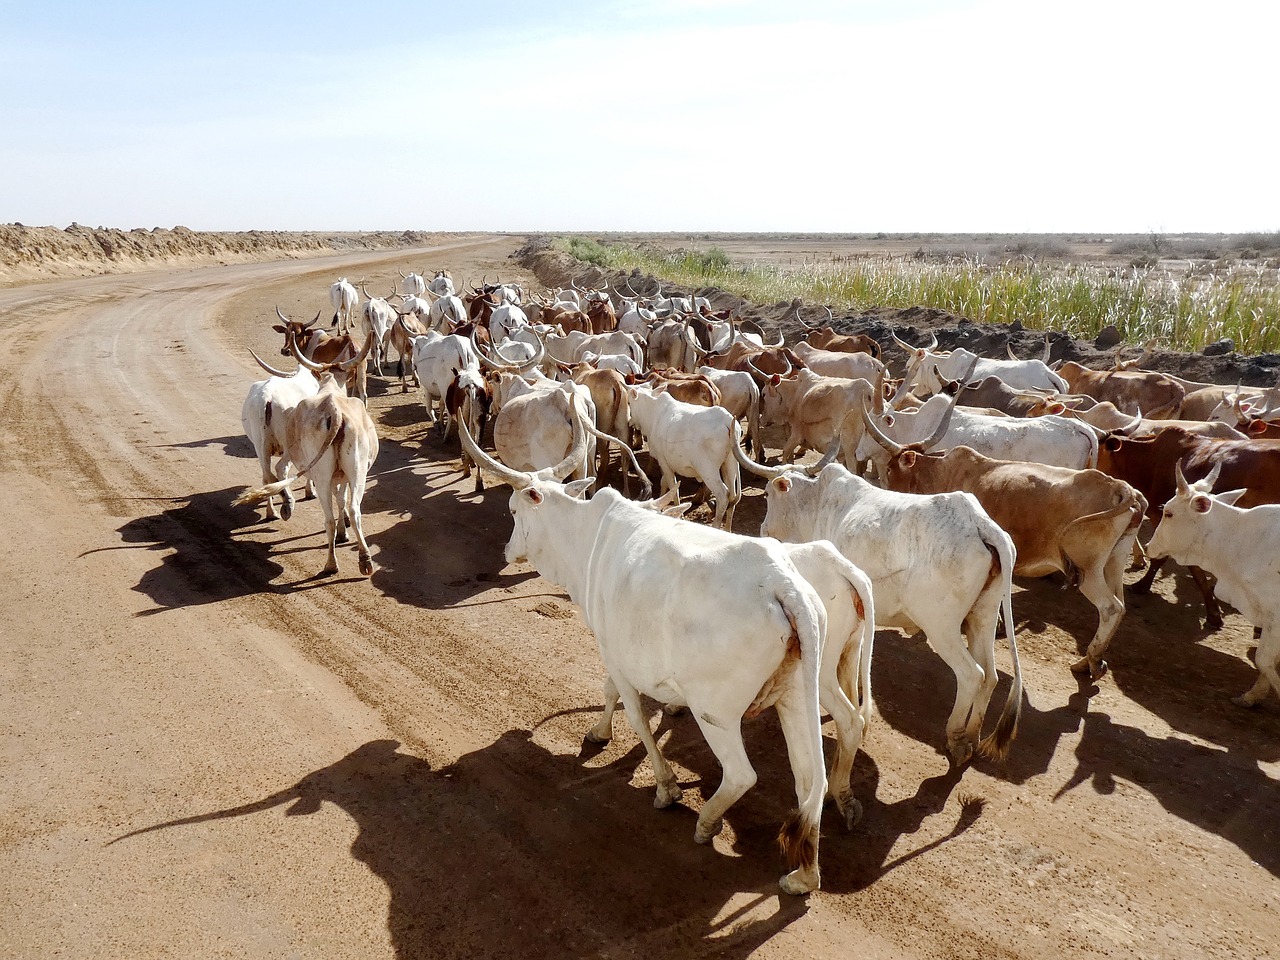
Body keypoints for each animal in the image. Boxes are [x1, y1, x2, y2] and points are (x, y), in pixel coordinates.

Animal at [234, 340, 376, 576]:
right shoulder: (337, 475)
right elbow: (340, 499)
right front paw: (342, 529)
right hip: (346, 473)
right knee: (341, 513)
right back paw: (336, 562)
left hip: (263, 446)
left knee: (269, 475)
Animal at [460, 412, 829, 896]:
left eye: (514, 511)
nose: (508, 549)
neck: (587, 537)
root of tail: (781, 584)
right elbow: (611, 695)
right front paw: (599, 732)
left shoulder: (613, 651)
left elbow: (631, 711)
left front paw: (666, 787)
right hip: (794, 698)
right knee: (810, 780)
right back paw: (804, 874)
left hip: (715, 712)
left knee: (741, 775)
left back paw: (707, 822)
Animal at [737, 442, 1024, 768]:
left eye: (768, 493)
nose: (763, 529)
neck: (816, 504)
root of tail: (980, 524)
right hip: (982, 618)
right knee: (990, 676)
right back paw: (973, 736)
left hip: (942, 628)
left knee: (972, 674)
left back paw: (955, 737)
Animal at [1152, 465, 1280, 706]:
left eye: (1168, 513)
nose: (1148, 546)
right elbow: (1267, 661)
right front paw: (1251, 697)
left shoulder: (1275, 616)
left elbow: (1264, 660)